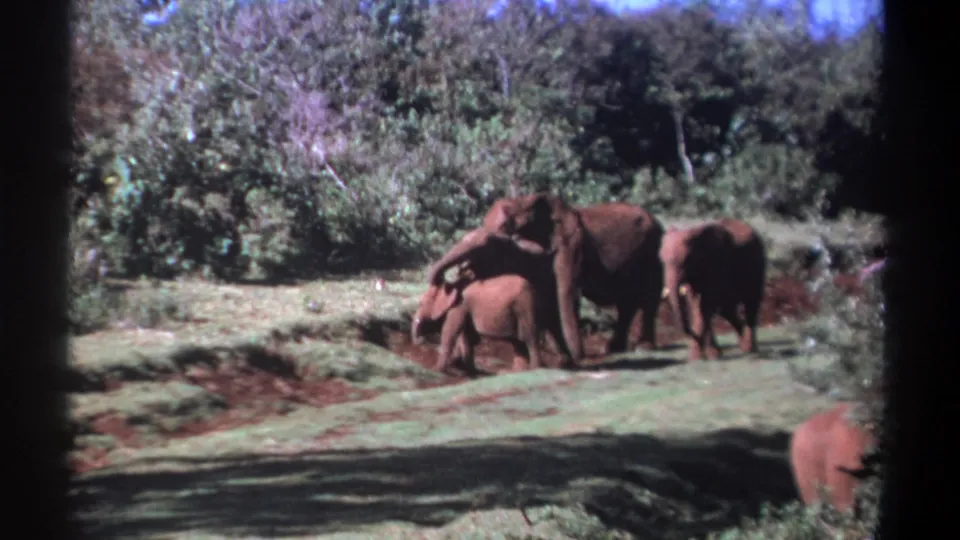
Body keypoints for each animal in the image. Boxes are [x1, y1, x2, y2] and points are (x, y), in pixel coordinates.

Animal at [410, 273, 547, 375]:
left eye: (421, 304)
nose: (419, 341)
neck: (451, 285)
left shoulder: (459, 306)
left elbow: (449, 333)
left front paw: (436, 370)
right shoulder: (465, 308)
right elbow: (467, 337)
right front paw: (472, 372)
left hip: (525, 307)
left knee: (529, 338)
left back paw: (534, 370)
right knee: (517, 342)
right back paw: (515, 372)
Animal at [426, 193, 666, 364]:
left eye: (495, 237)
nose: (438, 280)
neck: (524, 201)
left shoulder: (570, 246)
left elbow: (565, 295)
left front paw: (572, 357)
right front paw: (563, 359)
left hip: (653, 249)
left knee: (648, 297)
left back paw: (642, 347)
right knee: (627, 302)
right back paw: (614, 348)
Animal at [658, 218, 767, 361]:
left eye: (685, 261)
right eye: (662, 261)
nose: (691, 333)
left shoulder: (716, 264)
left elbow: (705, 305)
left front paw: (699, 357)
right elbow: (695, 305)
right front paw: (708, 356)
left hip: (757, 266)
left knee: (751, 304)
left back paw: (750, 349)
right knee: (726, 310)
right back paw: (743, 345)